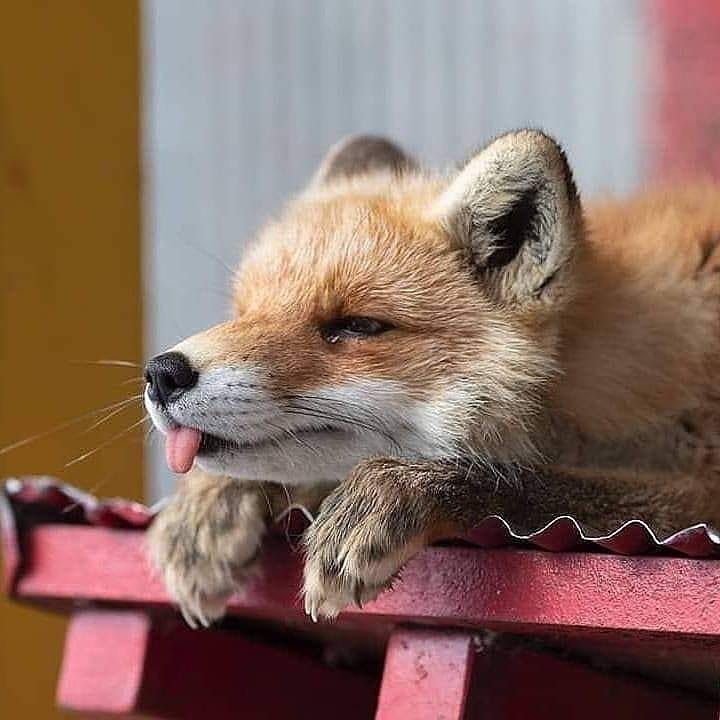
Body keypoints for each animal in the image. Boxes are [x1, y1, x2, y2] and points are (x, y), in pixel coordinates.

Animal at [145, 130, 720, 626]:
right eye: (245, 312)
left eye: (356, 326)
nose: (162, 374)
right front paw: (205, 504)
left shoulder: (700, 492)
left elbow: (524, 480)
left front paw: (398, 488)